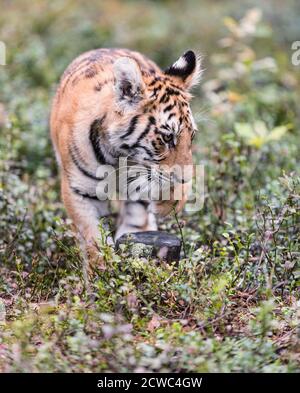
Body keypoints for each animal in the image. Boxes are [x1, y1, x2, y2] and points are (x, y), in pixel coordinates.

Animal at [50, 46, 202, 266]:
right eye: (167, 137)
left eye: (191, 136)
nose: (185, 178)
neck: (118, 155)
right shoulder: (79, 191)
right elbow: (92, 237)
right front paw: (102, 269)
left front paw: (167, 202)